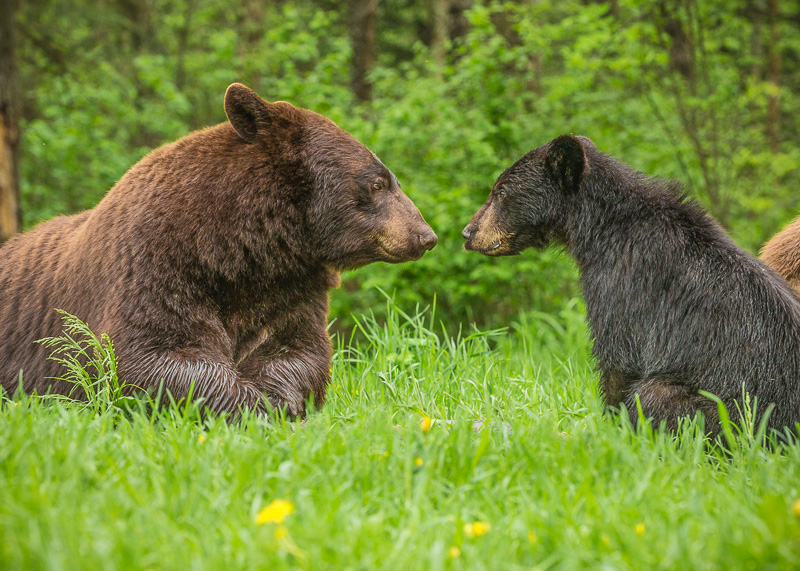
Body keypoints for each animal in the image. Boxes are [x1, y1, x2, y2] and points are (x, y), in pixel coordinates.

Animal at [0, 83, 437, 417]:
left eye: (390, 180)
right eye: (378, 183)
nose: (425, 235)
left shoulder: (291, 287)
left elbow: (298, 351)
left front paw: (279, 400)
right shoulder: (154, 266)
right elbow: (150, 355)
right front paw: (251, 407)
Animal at [462, 134, 800, 438]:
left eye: (500, 192)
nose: (468, 232)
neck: (599, 229)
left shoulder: (625, 279)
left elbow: (619, 358)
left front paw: (610, 432)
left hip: (729, 411)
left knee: (655, 397)